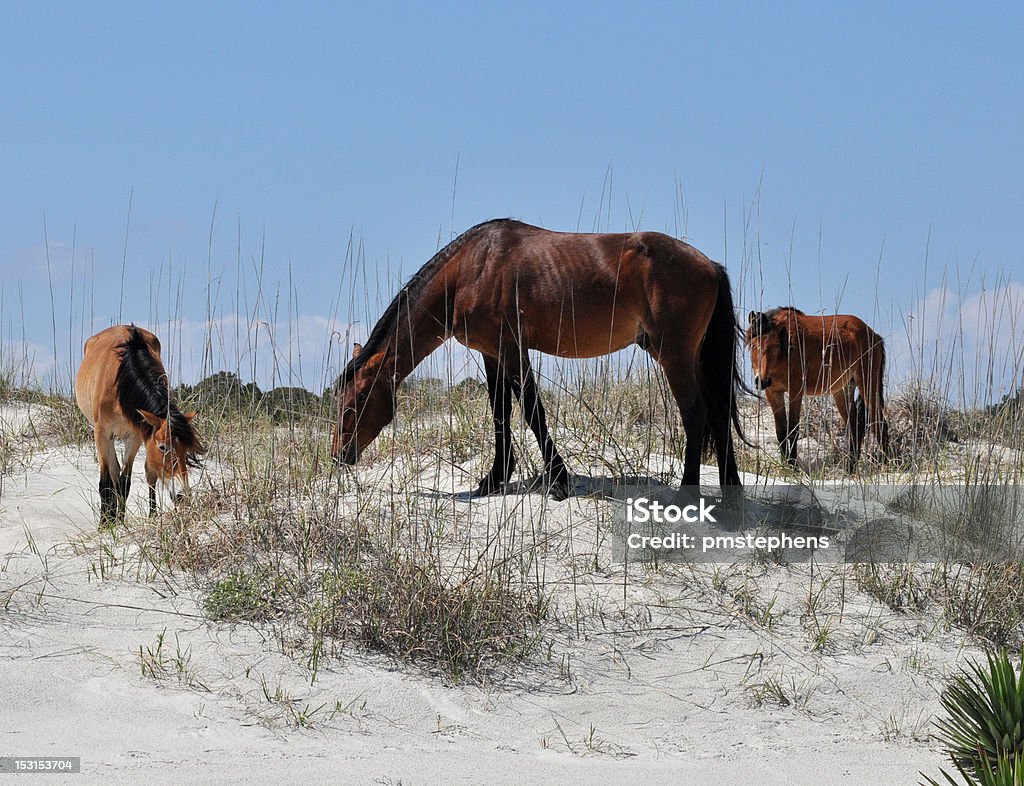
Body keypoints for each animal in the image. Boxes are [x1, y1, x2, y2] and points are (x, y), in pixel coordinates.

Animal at [75, 323, 203, 524]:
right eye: (163, 447)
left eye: (185, 450)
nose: (183, 495)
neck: (121, 383)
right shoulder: (102, 433)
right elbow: (105, 482)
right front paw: (105, 524)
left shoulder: (135, 435)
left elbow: (125, 481)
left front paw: (120, 521)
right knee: (113, 472)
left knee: (138, 474)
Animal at [331, 216, 741, 497]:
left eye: (354, 404)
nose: (338, 455)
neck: (469, 271)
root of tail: (709, 265)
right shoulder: (492, 354)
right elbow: (501, 413)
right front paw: (494, 479)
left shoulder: (512, 349)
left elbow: (531, 411)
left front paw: (558, 480)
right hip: (693, 357)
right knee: (718, 411)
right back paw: (731, 493)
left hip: (674, 355)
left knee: (695, 412)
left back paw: (687, 495)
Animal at [745, 304, 888, 466]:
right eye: (754, 345)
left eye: (775, 345)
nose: (762, 380)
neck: (786, 349)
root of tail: (874, 335)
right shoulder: (773, 393)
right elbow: (781, 431)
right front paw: (786, 465)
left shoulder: (795, 391)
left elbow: (793, 430)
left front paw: (793, 466)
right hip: (843, 390)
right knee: (854, 426)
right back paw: (850, 467)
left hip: (868, 384)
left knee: (880, 424)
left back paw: (886, 463)